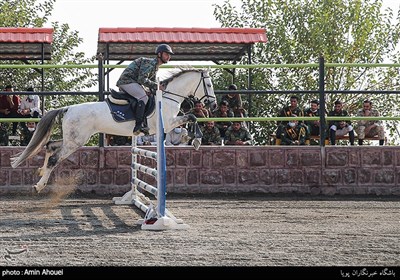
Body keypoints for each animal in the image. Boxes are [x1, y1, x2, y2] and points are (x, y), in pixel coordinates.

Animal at [10, 69, 216, 194]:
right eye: (209, 85)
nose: (213, 104)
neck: (167, 97)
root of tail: (68, 108)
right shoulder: (168, 123)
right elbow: (192, 117)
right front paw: (197, 140)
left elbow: (191, 118)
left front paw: (193, 138)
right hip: (76, 141)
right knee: (54, 157)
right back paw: (39, 186)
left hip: (73, 139)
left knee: (50, 145)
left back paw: (40, 171)